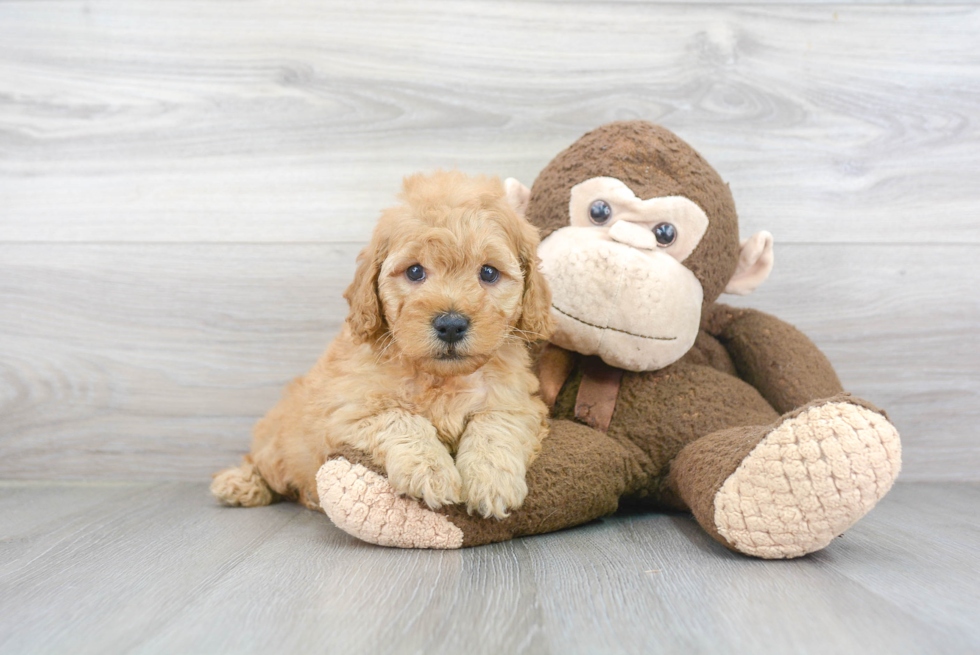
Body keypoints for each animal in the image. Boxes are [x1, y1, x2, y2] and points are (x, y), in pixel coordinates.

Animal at [212, 172, 556, 520]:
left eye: (488, 272)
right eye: (415, 271)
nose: (451, 324)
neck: (441, 377)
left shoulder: (517, 403)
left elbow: (494, 425)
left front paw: (491, 481)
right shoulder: (350, 411)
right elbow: (401, 417)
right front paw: (431, 472)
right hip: (277, 440)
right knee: (262, 464)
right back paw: (240, 483)